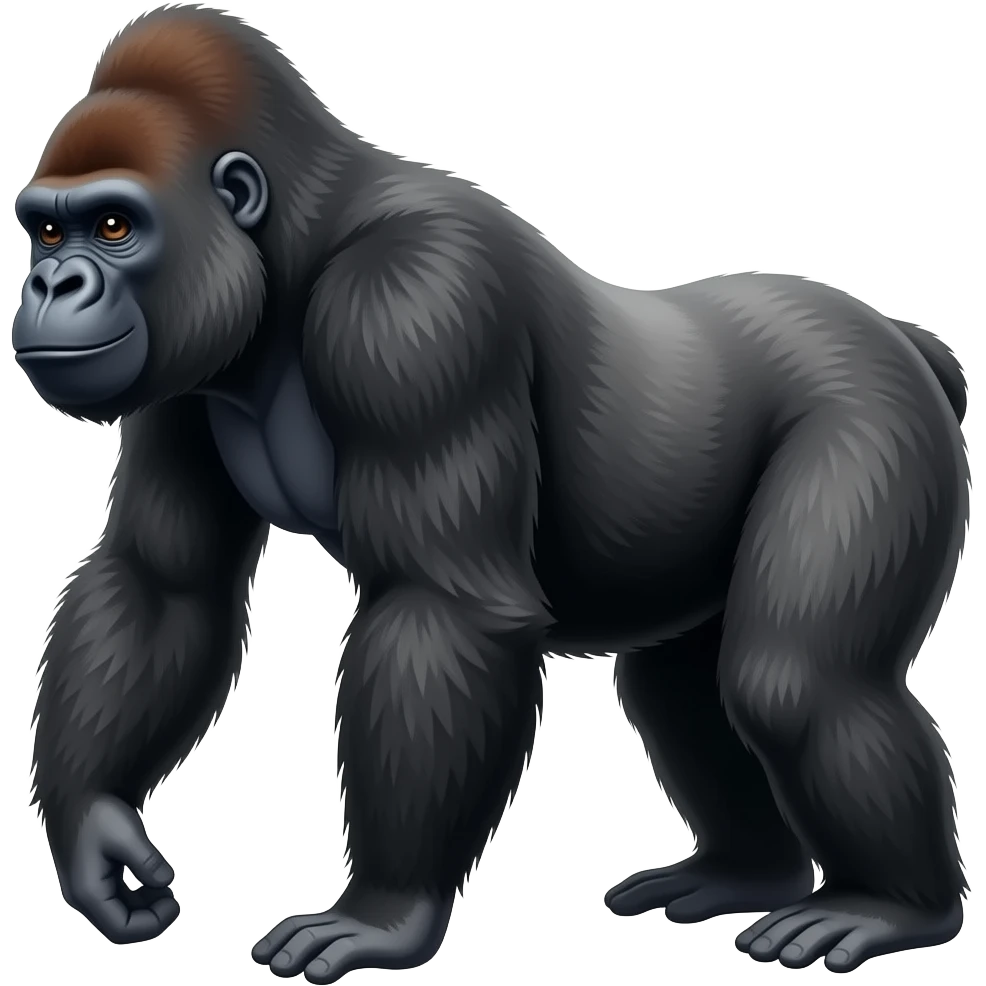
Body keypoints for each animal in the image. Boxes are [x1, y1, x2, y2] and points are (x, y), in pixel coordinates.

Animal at [11, 3, 971, 983]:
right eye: (46, 232)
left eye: (116, 226)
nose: (51, 282)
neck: (295, 243)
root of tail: (899, 334)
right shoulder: (184, 371)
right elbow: (161, 583)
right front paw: (94, 835)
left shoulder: (414, 305)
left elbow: (442, 606)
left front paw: (384, 912)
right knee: (681, 683)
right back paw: (748, 873)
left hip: (869, 414)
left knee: (795, 682)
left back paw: (894, 906)